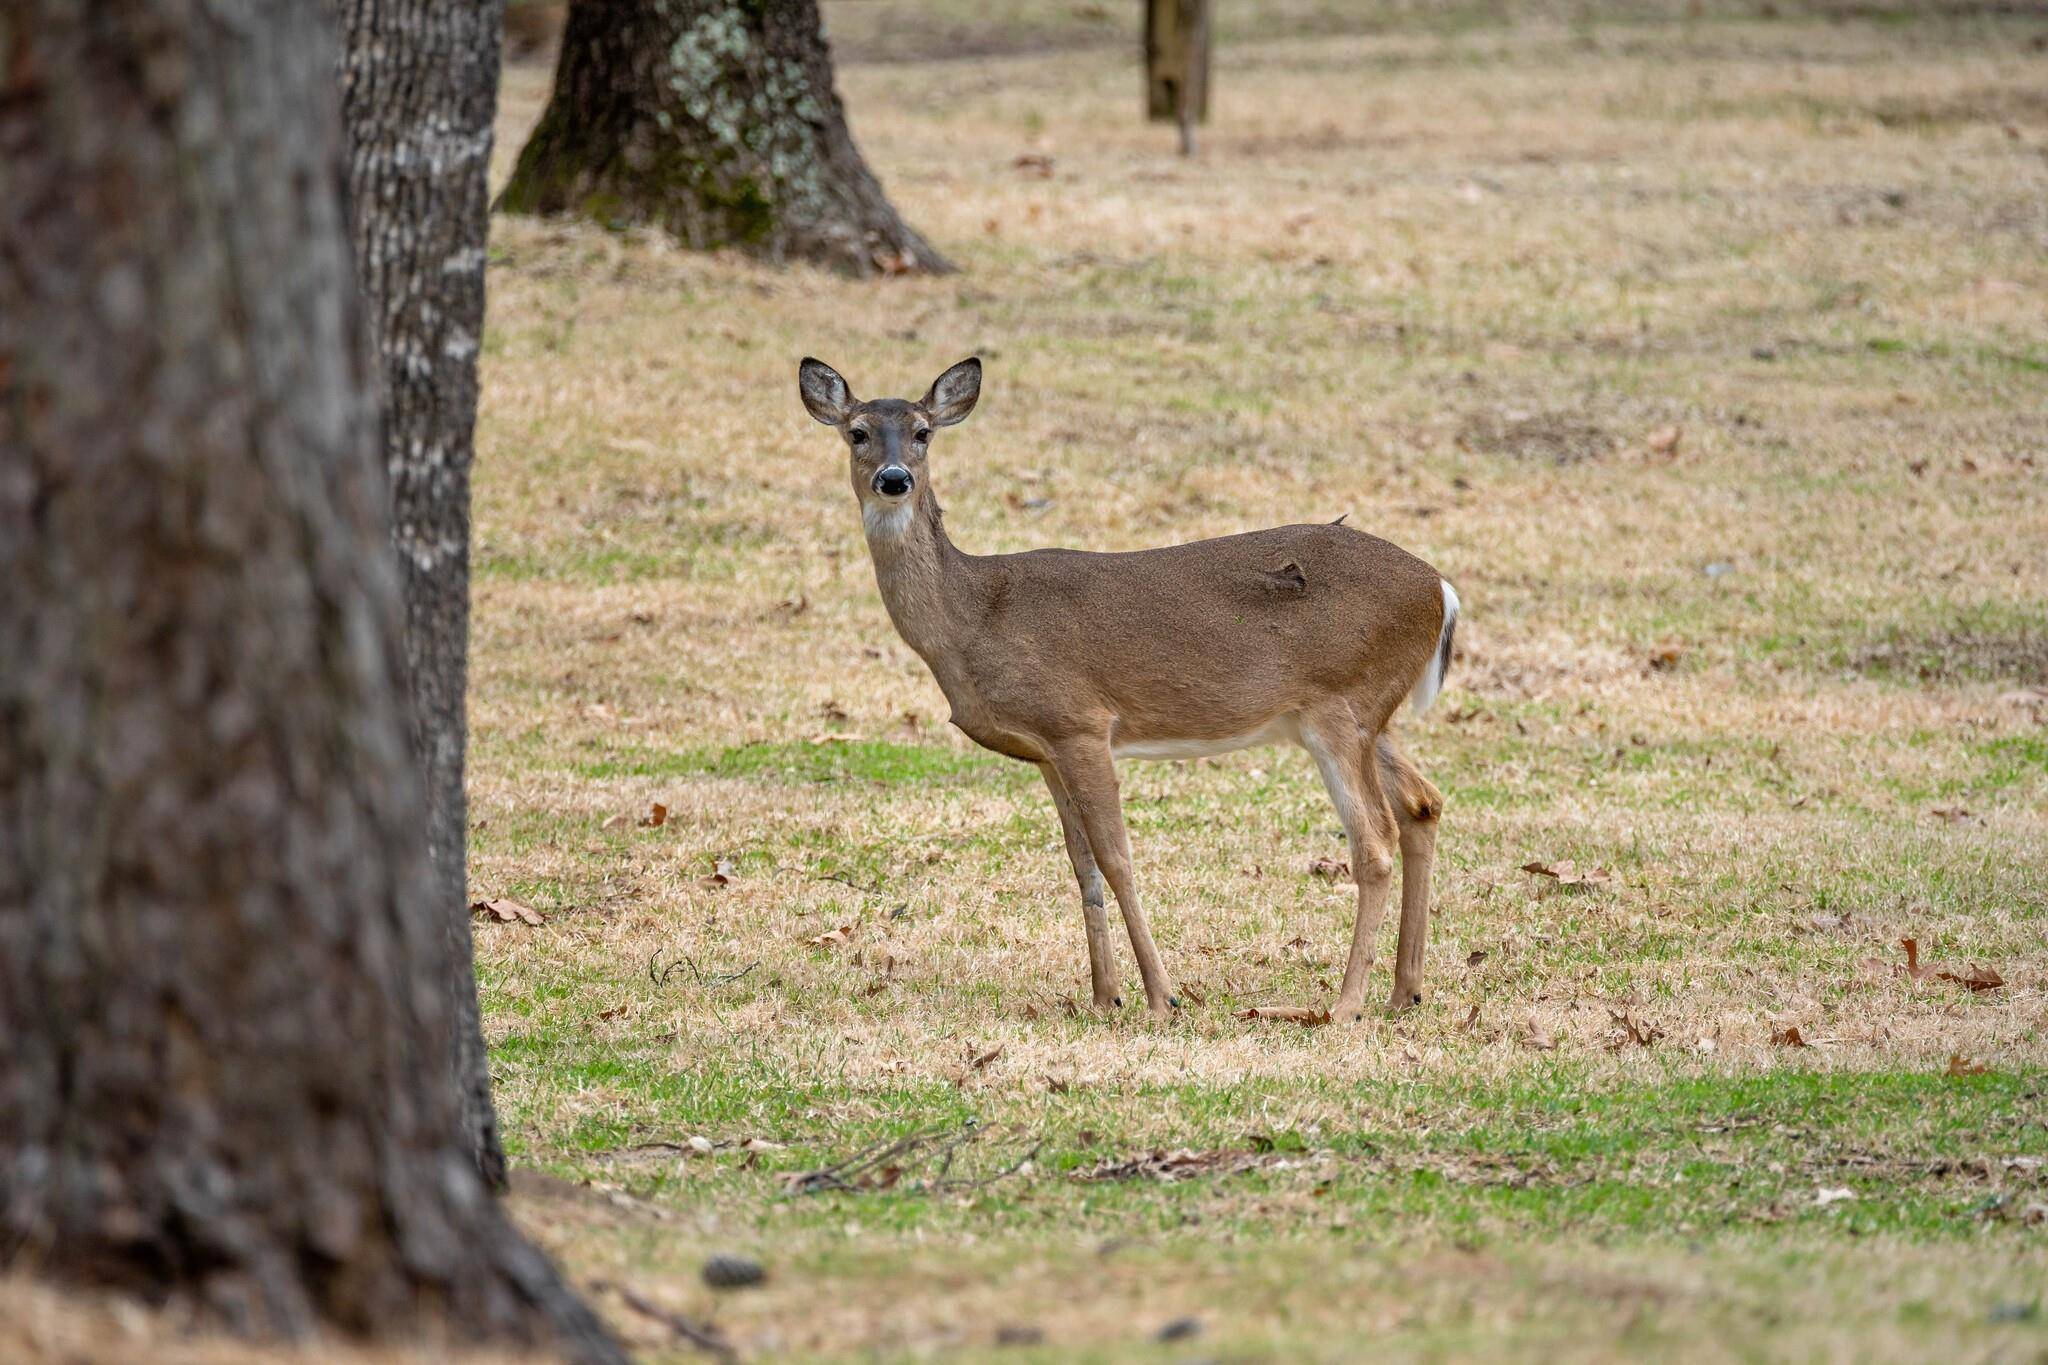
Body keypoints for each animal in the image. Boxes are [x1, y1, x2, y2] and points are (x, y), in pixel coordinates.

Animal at [798, 358, 1458, 1019]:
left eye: (922, 431)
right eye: (858, 432)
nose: (894, 478)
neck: (973, 617)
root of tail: (1440, 589)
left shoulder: (1080, 722)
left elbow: (1117, 859)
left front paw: (1162, 996)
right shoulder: (1045, 748)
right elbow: (1082, 866)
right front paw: (1103, 996)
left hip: (1340, 705)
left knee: (1374, 839)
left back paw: (1344, 1006)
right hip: (1364, 715)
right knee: (1423, 803)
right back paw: (1404, 991)